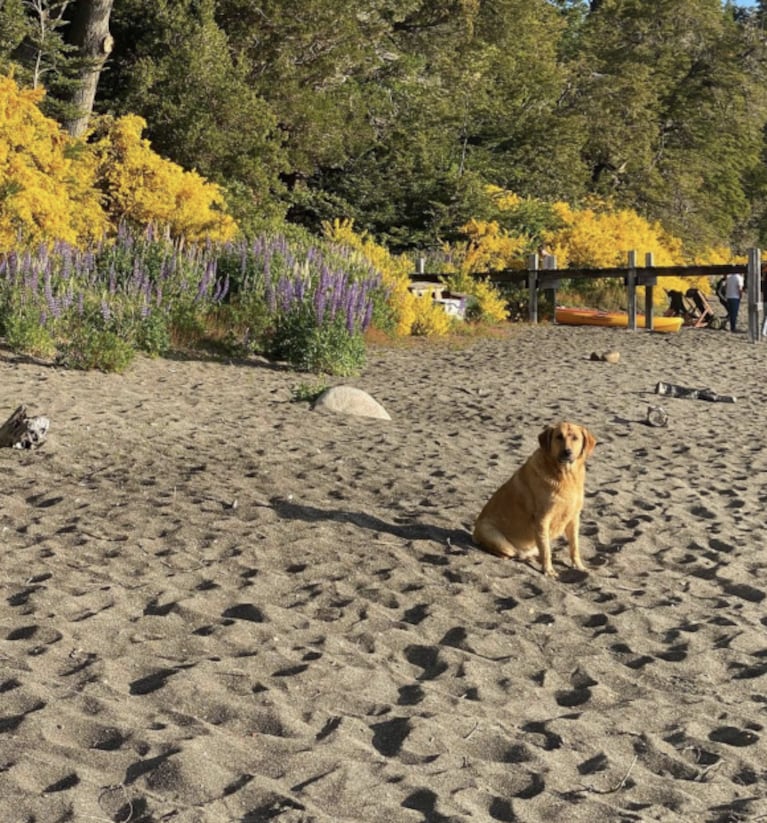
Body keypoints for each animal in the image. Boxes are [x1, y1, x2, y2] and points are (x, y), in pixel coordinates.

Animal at [476, 424, 596, 580]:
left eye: (575, 438)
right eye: (559, 437)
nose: (567, 452)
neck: (564, 475)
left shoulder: (574, 518)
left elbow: (574, 546)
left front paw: (579, 566)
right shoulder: (542, 519)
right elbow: (546, 550)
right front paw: (548, 570)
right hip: (493, 535)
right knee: (512, 552)